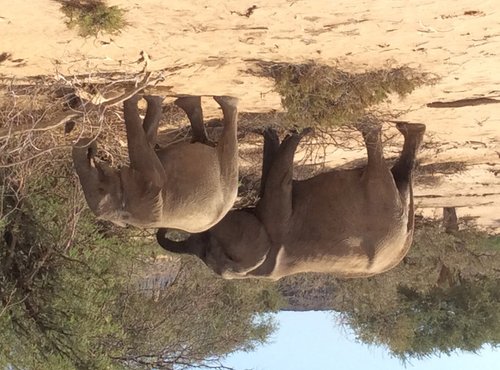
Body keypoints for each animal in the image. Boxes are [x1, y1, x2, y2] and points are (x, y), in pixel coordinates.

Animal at [71, 95, 240, 233]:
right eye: (101, 188)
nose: (92, 150)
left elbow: (150, 143)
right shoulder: (147, 197)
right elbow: (157, 173)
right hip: (227, 178)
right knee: (228, 144)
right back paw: (227, 102)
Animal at [156, 122, 426, 280]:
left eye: (208, 240)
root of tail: (407, 234)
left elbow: (274, 176)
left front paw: (282, 132)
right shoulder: (279, 224)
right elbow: (278, 179)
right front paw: (293, 133)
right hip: (384, 203)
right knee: (385, 170)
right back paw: (395, 128)